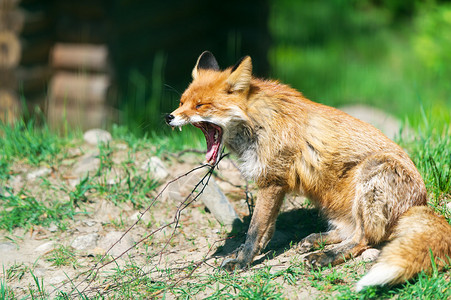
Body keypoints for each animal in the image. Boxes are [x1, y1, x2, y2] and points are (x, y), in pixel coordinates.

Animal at [165, 51, 451, 290]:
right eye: (181, 102)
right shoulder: (276, 184)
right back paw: (315, 240)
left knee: (364, 238)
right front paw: (248, 253)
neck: (258, 121)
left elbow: (255, 229)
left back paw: (325, 256)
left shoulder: (271, 181)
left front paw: (243, 261)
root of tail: (420, 203)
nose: (169, 117)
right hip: (332, 202)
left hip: (372, 174)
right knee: (351, 231)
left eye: (200, 105)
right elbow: (265, 230)